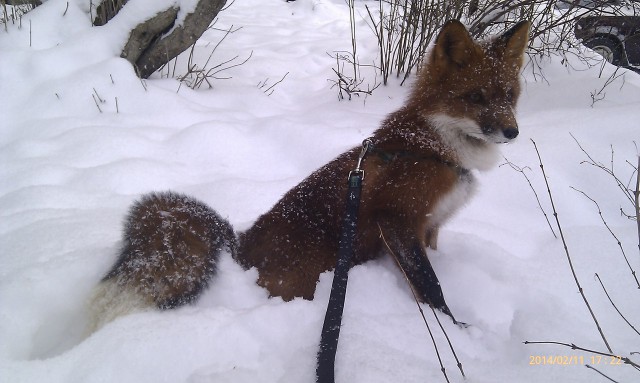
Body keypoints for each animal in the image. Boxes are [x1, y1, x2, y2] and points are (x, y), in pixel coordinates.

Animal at [86, 20, 528, 332]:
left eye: (509, 96)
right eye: (476, 97)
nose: (513, 132)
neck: (431, 148)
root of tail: (240, 249)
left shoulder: (431, 226)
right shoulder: (398, 219)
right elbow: (429, 285)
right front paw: (455, 331)